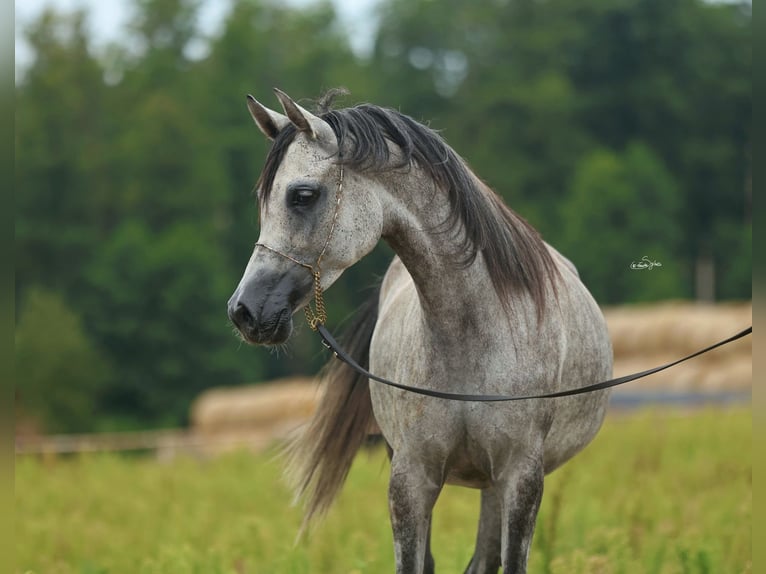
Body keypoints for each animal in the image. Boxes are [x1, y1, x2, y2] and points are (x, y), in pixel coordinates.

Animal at [228, 88, 612, 572]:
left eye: (302, 195)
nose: (244, 311)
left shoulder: (520, 478)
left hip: (495, 487)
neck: (470, 333)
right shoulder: (411, 479)